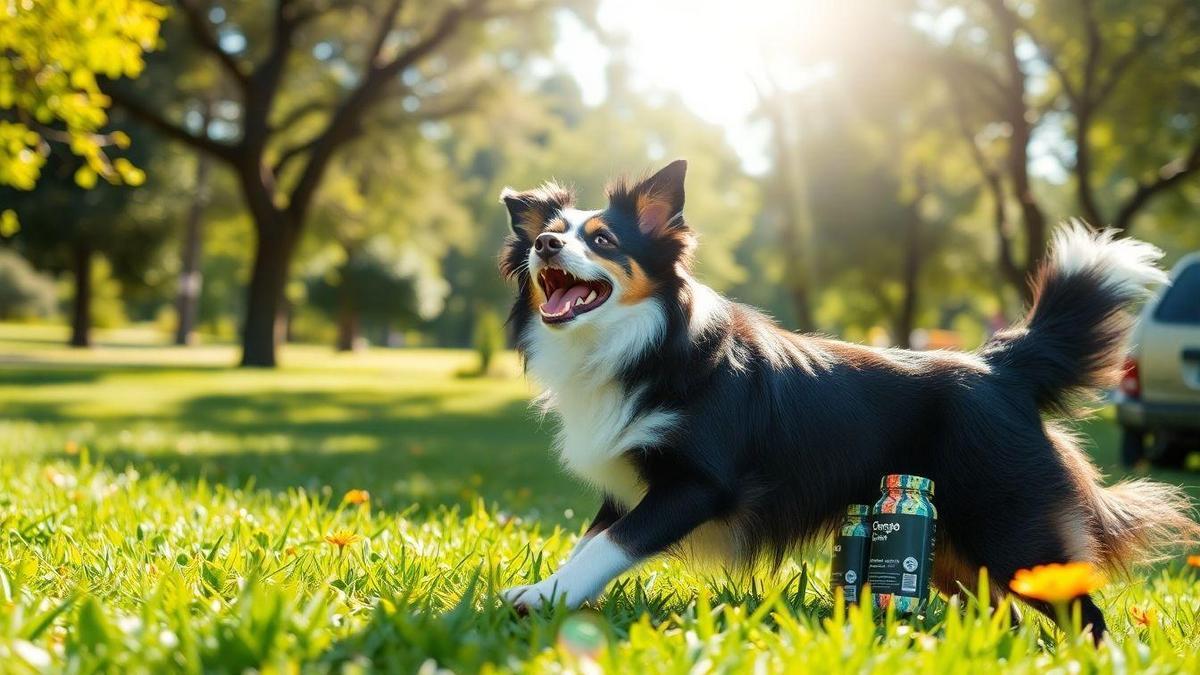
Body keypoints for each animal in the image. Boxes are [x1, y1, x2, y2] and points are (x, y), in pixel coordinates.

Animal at [492, 157, 1195, 629]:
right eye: (550, 233)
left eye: (602, 240)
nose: (545, 244)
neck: (641, 344)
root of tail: (1000, 366)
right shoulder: (626, 486)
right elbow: (588, 542)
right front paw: (547, 593)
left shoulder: (697, 484)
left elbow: (612, 545)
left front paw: (543, 598)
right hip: (958, 547)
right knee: (1009, 610)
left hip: (1011, 522)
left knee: (1082, 612)